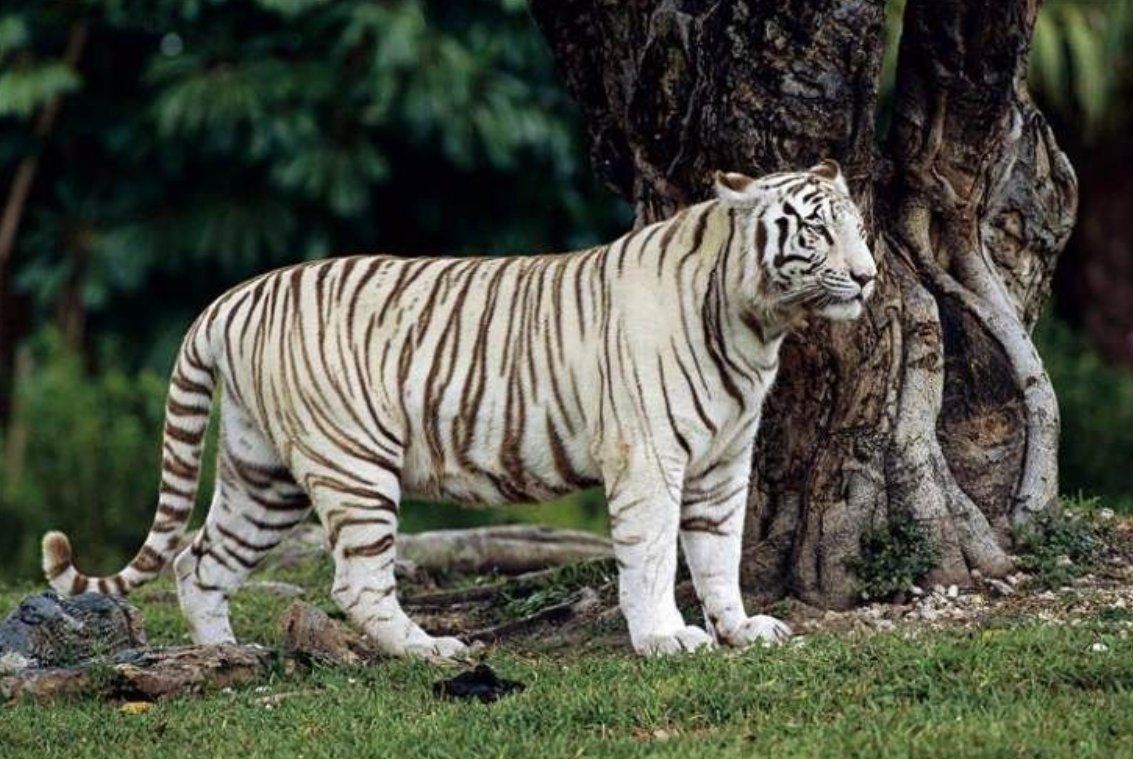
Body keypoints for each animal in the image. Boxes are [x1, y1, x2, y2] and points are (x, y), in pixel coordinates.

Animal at [42, 160, 876, 658]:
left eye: (859, 227)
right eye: (814, 229)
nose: (869, 276)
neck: (754, 325)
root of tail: (233, 297)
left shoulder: (723, 460)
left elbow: (717, 552)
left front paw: (741, 628)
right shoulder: (646, 457)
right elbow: (649, 554)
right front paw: (665, 638)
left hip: (261, 474)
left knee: (199, 559)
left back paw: (223, 652)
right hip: (352, 465)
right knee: (354, 582)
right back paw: (430, 650)